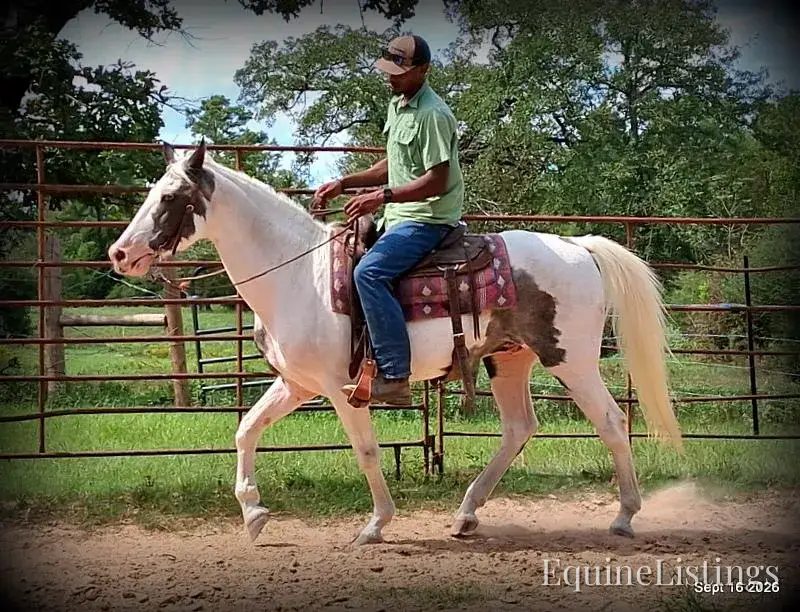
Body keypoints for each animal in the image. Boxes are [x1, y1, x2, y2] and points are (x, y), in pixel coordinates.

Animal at [108, 140, 683, 546]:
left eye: (170, 197)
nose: (119, 253)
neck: (298, 277)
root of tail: (577, 244)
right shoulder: (296, 384)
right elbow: (246, 429)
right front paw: (253, 514)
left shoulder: (342, 390)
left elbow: (365, 451)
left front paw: (375, 524)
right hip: (508, 360)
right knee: (520, 428)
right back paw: (466, 514)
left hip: (572, 361)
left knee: (611, 423)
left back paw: (624, 516)